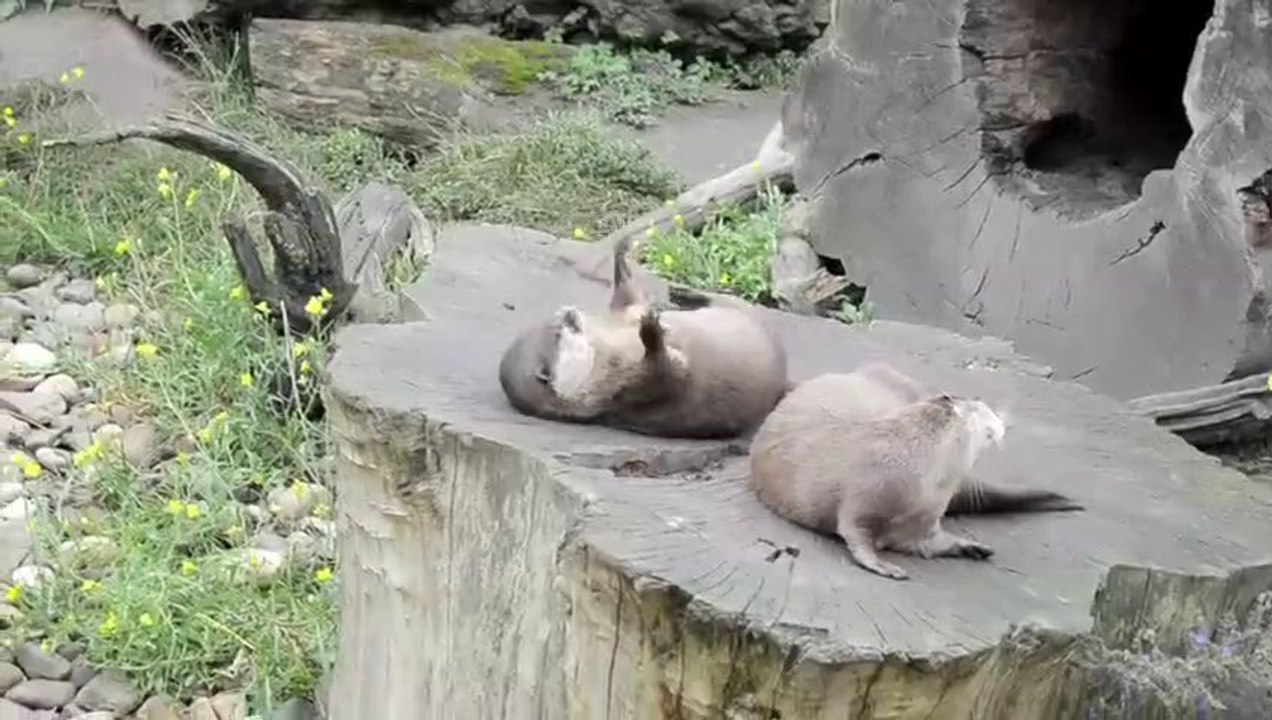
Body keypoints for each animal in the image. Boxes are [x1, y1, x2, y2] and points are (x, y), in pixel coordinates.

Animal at [497, 235, 789, 439]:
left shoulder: (626, 312)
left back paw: (682, 294)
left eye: (551, 321)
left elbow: (628, 296)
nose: (568, 314)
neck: (611, 347)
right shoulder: (636, 384)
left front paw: (622, 253)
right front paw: (651, 331)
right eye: (558, 334)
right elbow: (667, 368)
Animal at [748, 364, 1082, 580]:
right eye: (983, 411)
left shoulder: (922, 524)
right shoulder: (862, 499)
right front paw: (884, 567)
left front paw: (970, 546)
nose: (1000, 422)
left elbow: (931, 542)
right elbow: (855, 532)